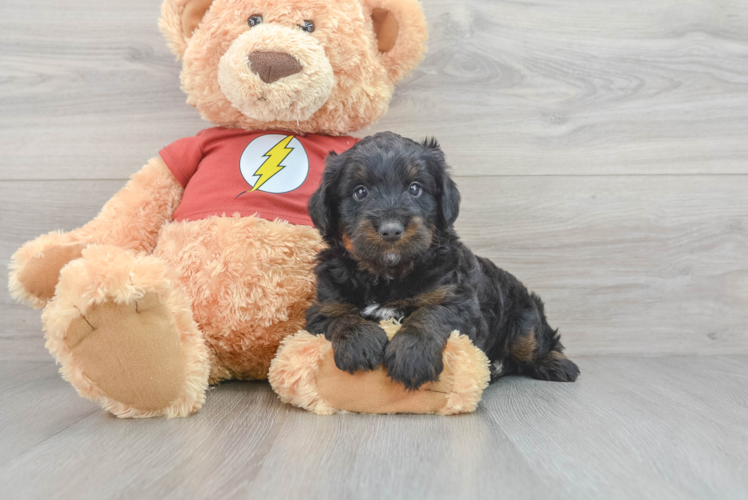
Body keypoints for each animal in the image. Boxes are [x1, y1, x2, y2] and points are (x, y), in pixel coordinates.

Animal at [304, 133, 580, 390]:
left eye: (415, 188)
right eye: (360, 192)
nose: (391, 230)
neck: (388, 275)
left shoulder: (457, 300)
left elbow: (431, 313)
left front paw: (412, 355)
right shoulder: (323, 305)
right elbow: (339, 315)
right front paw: (360, 342)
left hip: (524, 317)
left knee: (536, 343)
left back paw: (556, 364)